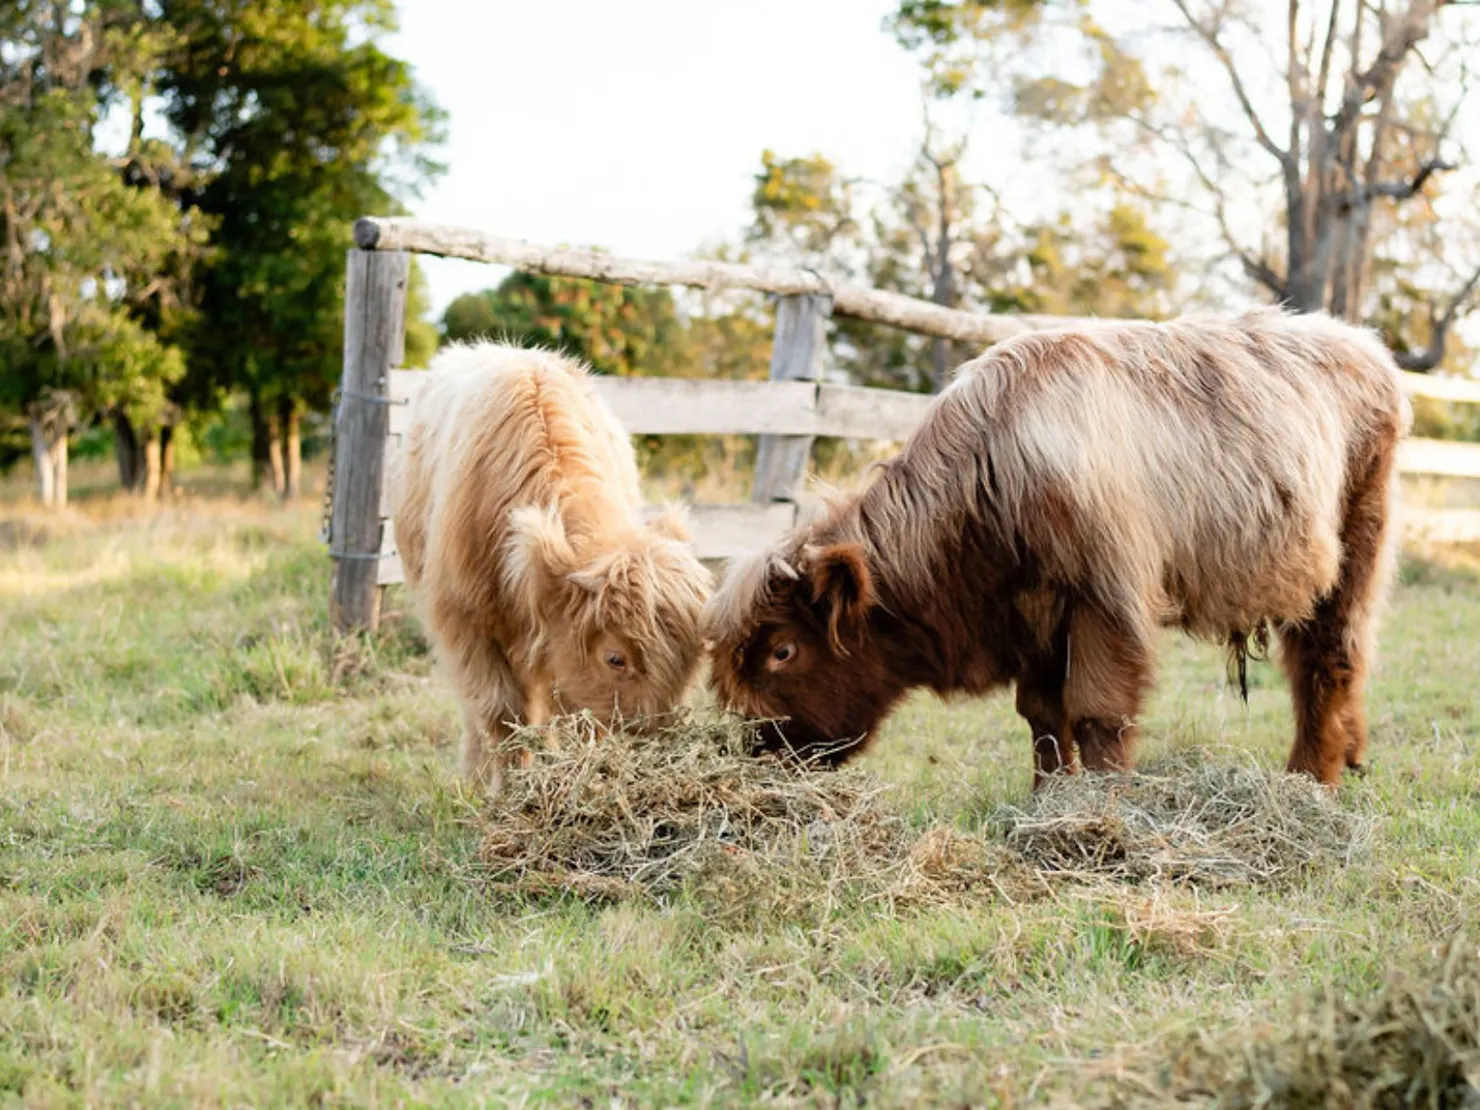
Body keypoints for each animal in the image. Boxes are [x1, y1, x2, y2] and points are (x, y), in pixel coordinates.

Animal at [387, 343, 710, 793]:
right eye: (615, 658)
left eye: (693, 660)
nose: (648, 749)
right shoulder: (463, 622)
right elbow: (499, 711)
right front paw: (507, 789)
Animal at [704, 309, 1408, 787]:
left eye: (783, 651)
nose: (760, 751)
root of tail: (1361, 345)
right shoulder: (1032, 611)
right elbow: (1041, 714)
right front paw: (1049, 796)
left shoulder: (1105, 600)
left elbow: (1097, 714)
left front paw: (1104, 810)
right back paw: (1350, 754)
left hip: (1354, 550)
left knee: (1328, 661)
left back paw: (1309, 780)